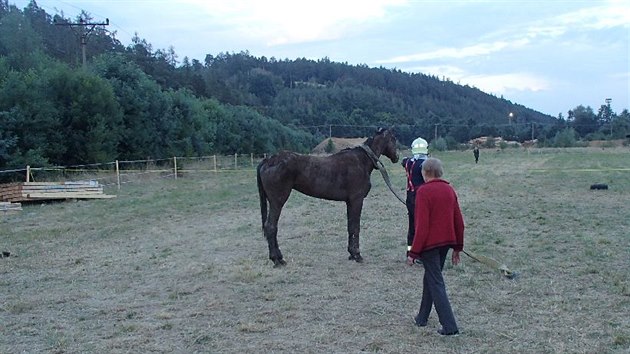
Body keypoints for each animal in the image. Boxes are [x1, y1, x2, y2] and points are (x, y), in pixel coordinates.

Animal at [256, 129, 400, 266]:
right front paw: (357, 255)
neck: (361, 161)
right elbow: (356, 227)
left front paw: (351, 254)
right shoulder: (357, 200)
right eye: (393, 139)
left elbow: (350, 226)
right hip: (277, 202)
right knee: (271, 227)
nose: (397, 157)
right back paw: (277, 259)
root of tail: (268, 160)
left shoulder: (350, 202)